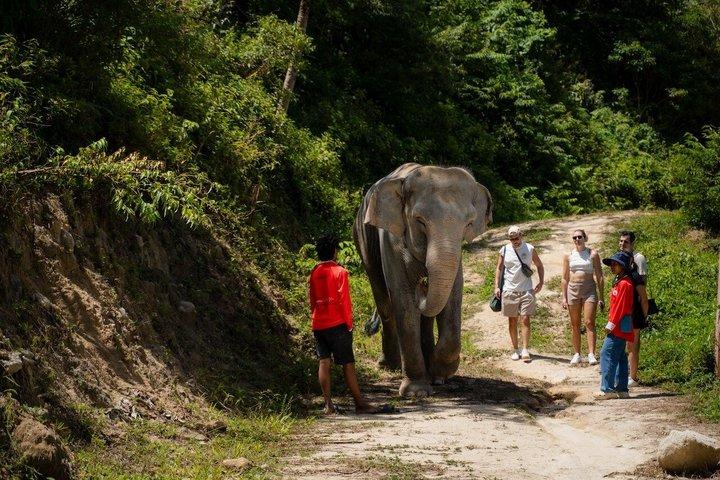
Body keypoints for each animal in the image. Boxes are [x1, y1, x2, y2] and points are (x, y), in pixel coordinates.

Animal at [353, 163, 493, 397]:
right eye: (420, 221)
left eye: (469, 224)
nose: (423, 283)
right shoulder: (391, 242)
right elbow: (404, 303)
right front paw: (416, 392)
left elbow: (453, 298)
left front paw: (439, 374)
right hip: (362, 239)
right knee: (385, 303)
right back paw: (388, 365)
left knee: (424, 317)